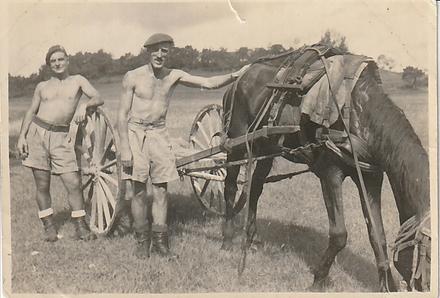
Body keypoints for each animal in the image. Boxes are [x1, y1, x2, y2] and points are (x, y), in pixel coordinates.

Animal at [220, 52, 430, 292]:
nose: (424, 286)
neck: (356, 111)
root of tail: (239, 79)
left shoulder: (371, 177)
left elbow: (377, 234)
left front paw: (387, 286)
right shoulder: (330, 174)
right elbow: (339, 234)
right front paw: (319, 278)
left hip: (267, 149)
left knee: (255, 188)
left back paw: (249, 239)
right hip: (237, 145)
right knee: (230, 187)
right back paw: (227, 239)